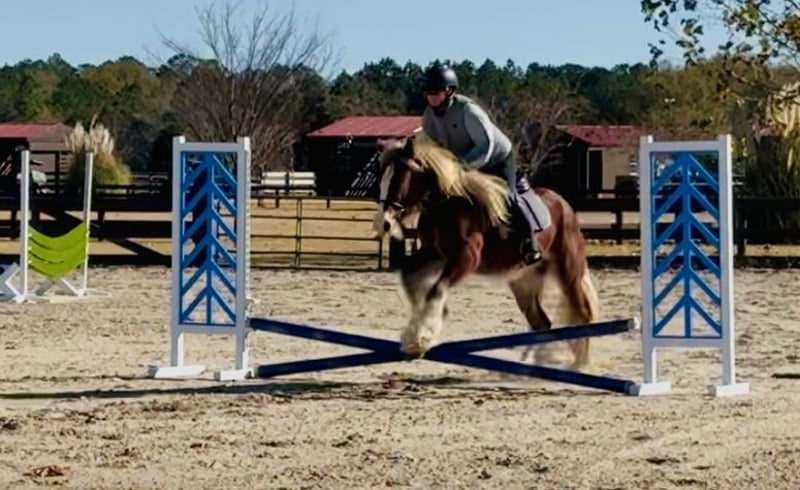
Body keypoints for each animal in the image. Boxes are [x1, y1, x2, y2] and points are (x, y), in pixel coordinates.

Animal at [373, 133, 601, 371]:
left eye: (400, 177)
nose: (383, 223)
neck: (446, 204)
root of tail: (564, 204)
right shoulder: (434, 253)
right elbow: (410, 278)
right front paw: (417, 334)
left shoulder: (466, 258)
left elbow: (436, 290)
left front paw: (421, 338)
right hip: (523, 279)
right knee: (541, 322)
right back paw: (526, 365)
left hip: (569, 270)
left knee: (583, 313)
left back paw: (581, 364)